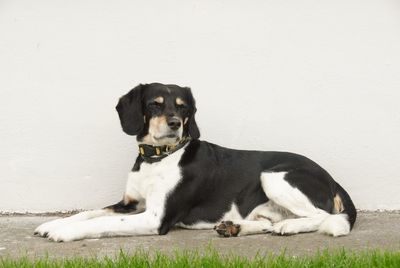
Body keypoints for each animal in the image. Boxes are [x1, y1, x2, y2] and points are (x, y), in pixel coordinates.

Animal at [33, 82, 356, 242]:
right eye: (154, 104)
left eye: (183, 107)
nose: (175, 123)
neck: (158, 157)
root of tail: (332, 179)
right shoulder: (129, 203)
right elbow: (88, 213)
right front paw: (52, 224)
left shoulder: (154, 217)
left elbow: (100, 222)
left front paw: (64, 233)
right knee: (267, 222)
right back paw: (235, 228)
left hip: (274, 176)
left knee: (322, 216)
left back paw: (289, 228)